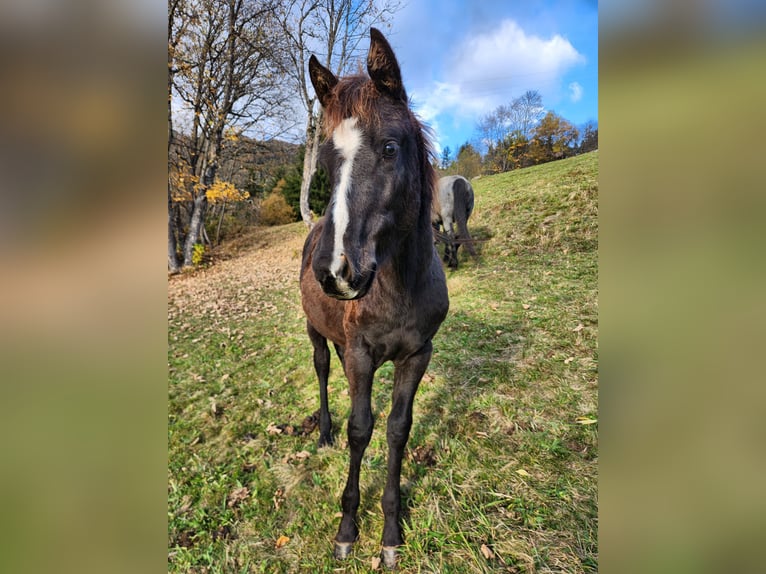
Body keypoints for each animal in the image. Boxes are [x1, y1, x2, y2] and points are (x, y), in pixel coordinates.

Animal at [300, 28, 448, 572]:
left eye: (389, 147)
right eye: (325, 161)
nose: (334, 272)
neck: (398, 286)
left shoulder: (417, 354)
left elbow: (396, 430)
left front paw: (390, 532)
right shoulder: (362, 354)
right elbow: (360, 430)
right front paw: (347, 529)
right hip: (317, 334)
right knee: (324, 371)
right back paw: (323, 430)